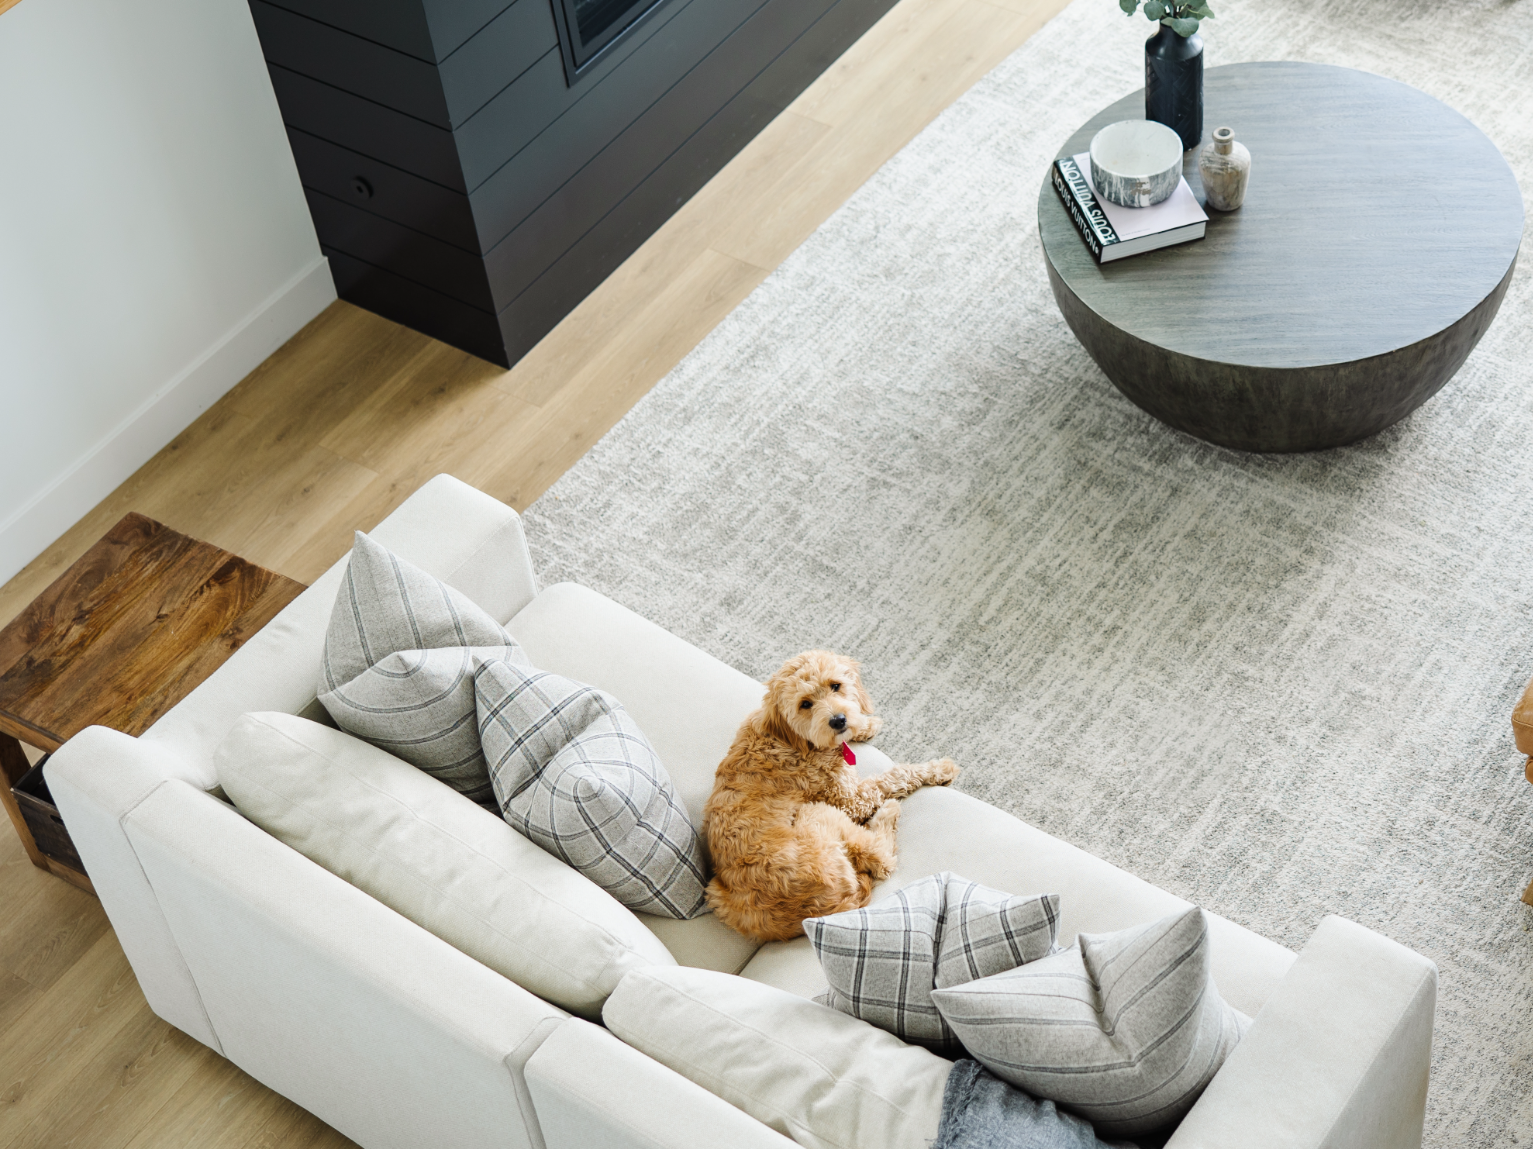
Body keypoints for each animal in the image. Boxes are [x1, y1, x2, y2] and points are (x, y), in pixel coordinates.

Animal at [705, 652, 956, 937]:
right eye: (805, 704)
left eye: (836, 685)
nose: (838, 720)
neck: (792, 741)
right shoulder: (850, 801)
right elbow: (893, 776)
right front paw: (938, 768)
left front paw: (865, 723)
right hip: (816, 812)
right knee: (882, 859)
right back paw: (888, 813)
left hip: (716, 896)